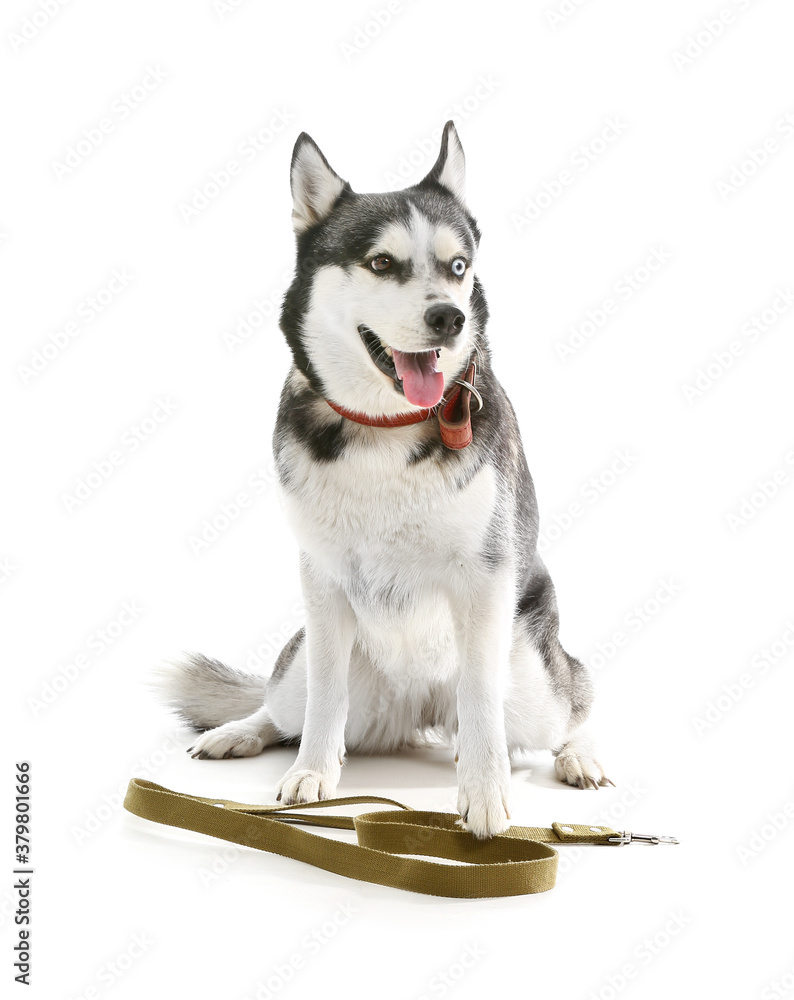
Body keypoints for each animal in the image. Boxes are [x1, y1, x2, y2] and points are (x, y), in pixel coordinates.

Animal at [158, 121, 608, 840]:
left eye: (458, 267)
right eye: (380, 264)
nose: (449, 317)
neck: (387, 426)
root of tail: (419, 712)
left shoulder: (485, 579)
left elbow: (481, 695)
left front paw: (485, 794)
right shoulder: (321, 582)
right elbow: (324, 695)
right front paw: (313, 774)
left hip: (534, 682)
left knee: (574, 702)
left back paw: (579, 756)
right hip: (316, 667)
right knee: (284, 702)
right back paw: (241, 731)